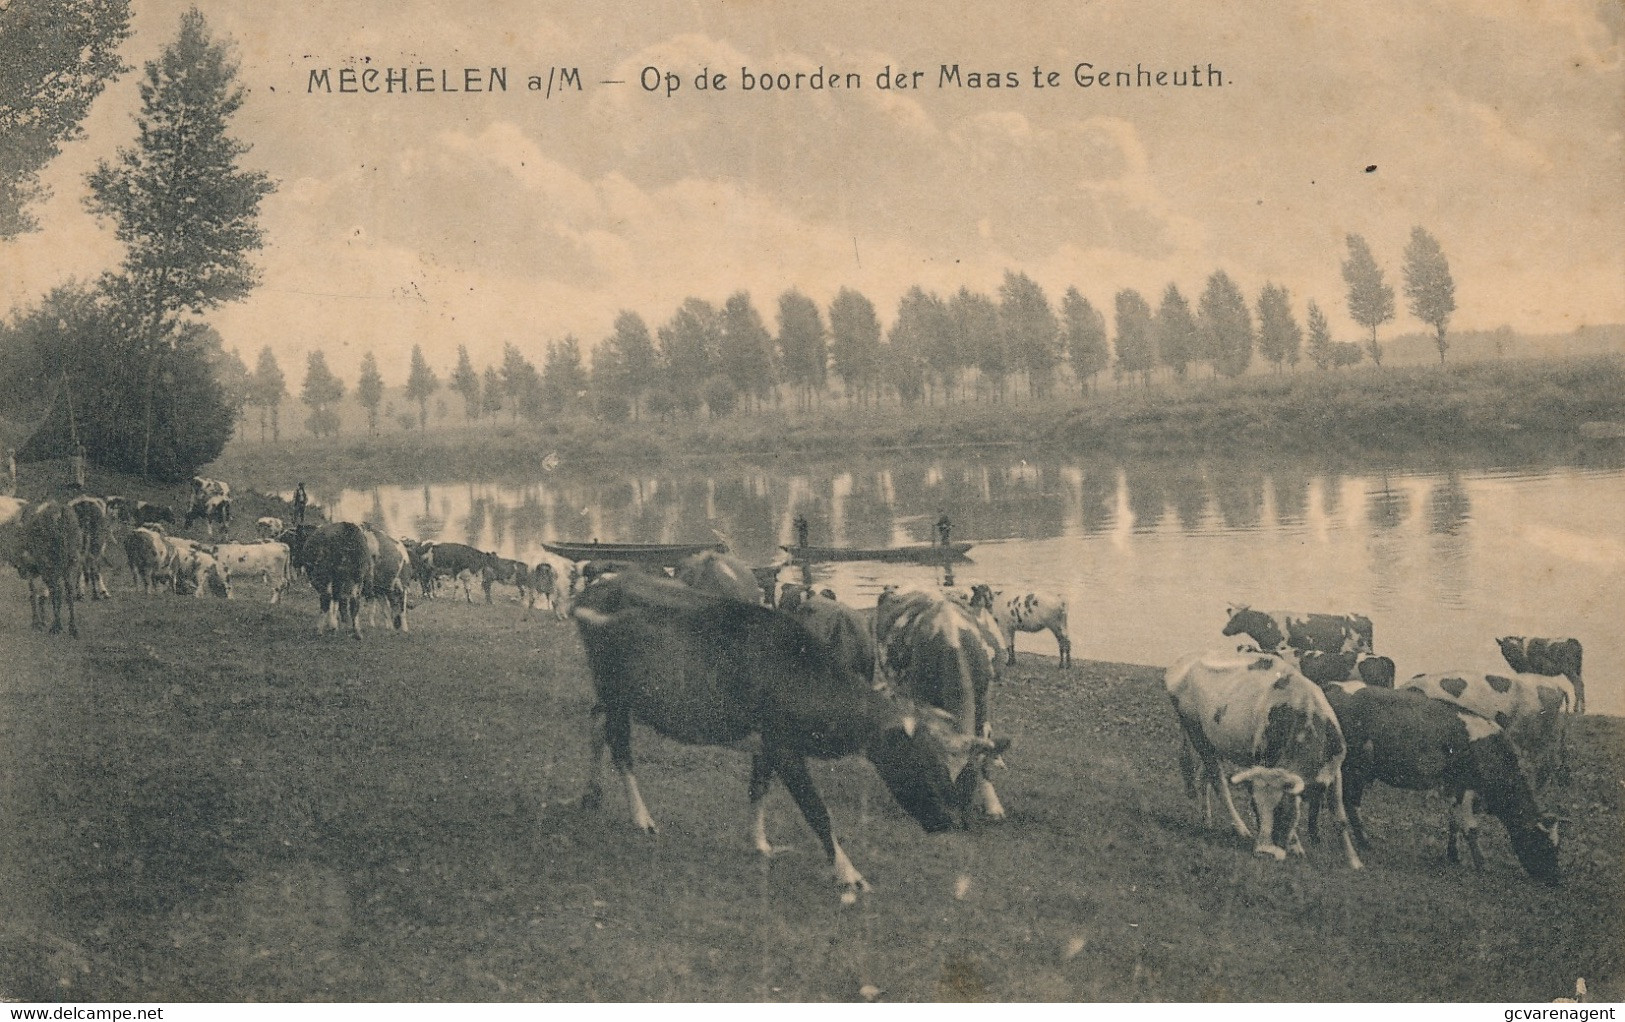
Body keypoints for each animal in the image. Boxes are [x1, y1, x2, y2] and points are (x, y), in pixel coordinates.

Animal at [871, 584, 1007, 815]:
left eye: (968, 778)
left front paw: (993, 806)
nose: (953, 816)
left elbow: (984, 747)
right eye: (933, 776)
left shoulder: (983, 698)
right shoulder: (918, 698)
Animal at [1319, 682, 1560, 883]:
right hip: (1348, 767)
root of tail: (1333, 688)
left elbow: (1454, 823)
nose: (1555, 880)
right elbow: (1471, 828)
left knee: (1348, 802)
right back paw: (1356, 841)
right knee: (1344, 802)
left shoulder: (1454, 786)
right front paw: (1481, 864)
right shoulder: (1466, 787)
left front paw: (1454, 855)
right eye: (1545, 845)